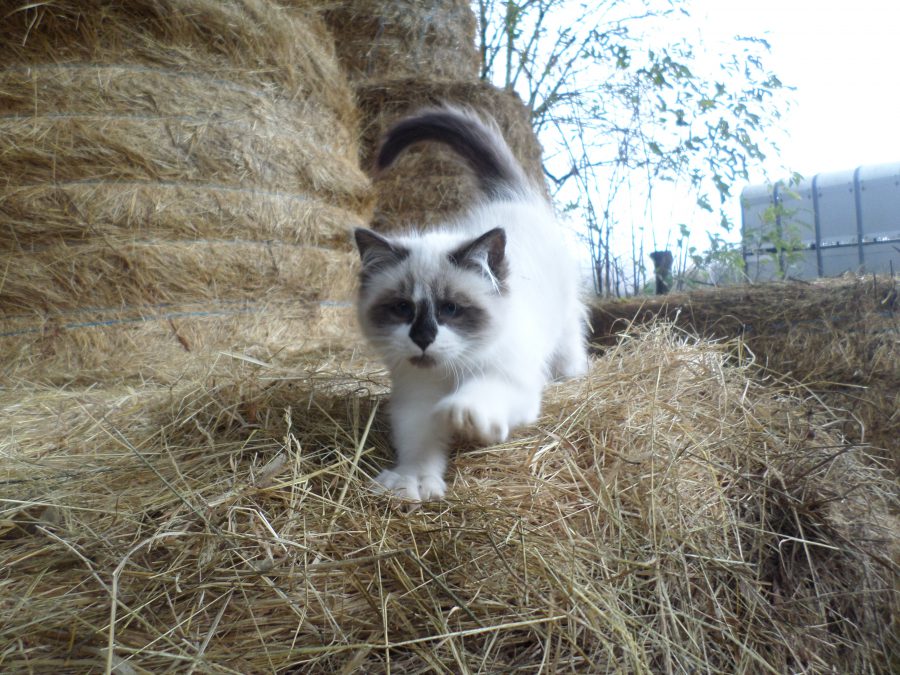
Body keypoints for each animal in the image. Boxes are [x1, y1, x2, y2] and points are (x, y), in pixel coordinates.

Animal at [356, 107, 588, 502]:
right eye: (402, 309)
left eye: (450, 309)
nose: (423, 338)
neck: (452, 372)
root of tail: (513, 197)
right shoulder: (415, 401)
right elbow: (420, 445)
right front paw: (413, 482)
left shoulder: (513, 382)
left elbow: (481, 393)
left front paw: (463, 415)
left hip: (566, 324)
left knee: (571, 351)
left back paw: (573, 377)